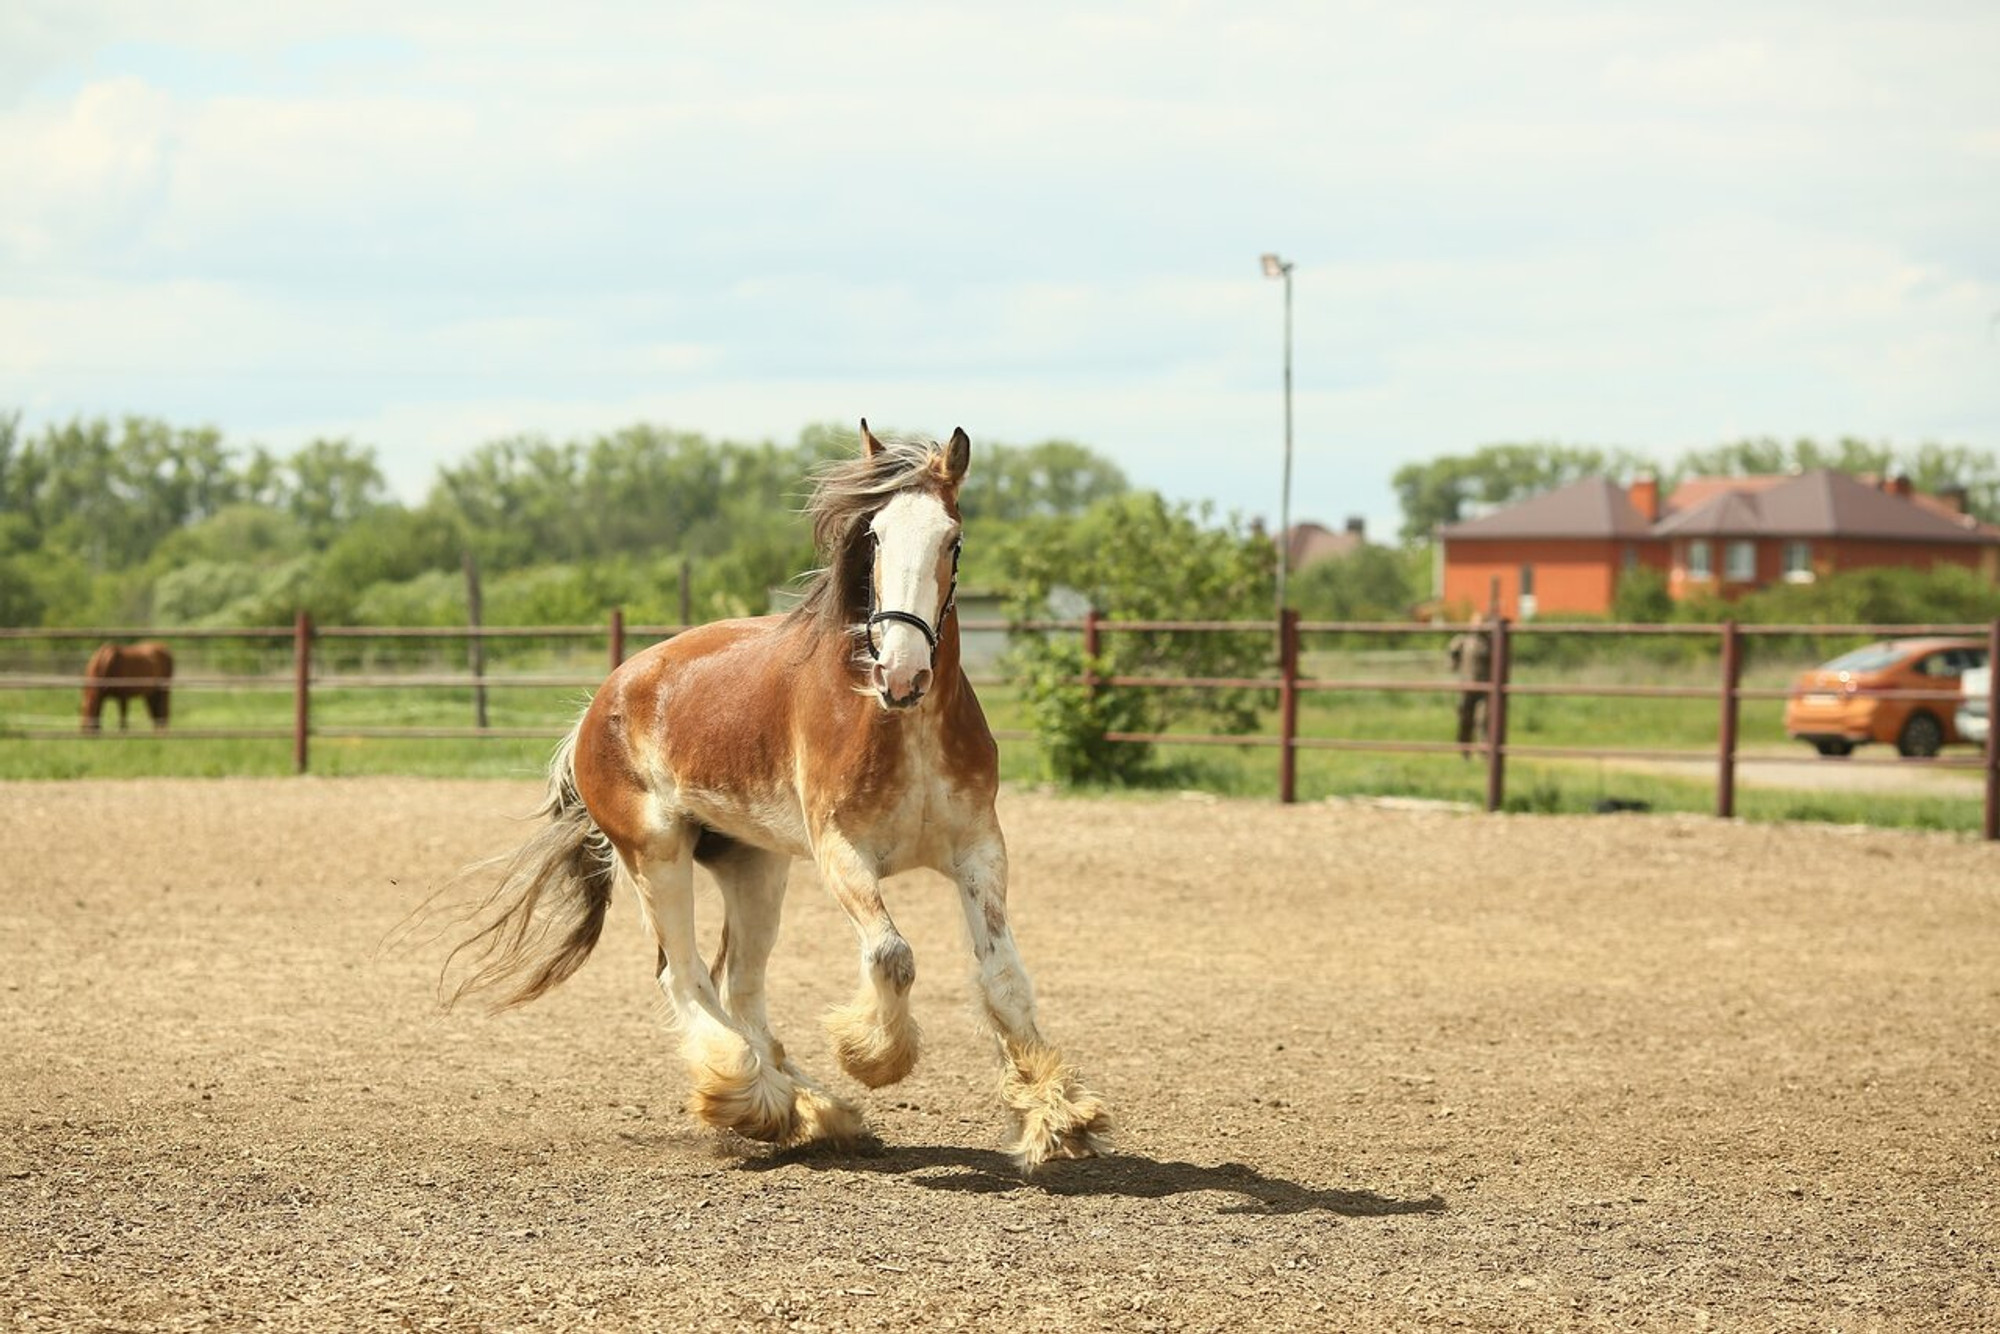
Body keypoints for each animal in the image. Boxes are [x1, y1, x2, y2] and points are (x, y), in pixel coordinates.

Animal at [446, 422, 1112, 1176]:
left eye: (954, 540)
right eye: (874, 537)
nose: (903, 673)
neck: (897, 722)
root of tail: (600, 703)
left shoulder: (978, 851)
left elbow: (1001, 975)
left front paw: (1057, 1115)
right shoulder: (841, 853)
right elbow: (893, 955)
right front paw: (873, 1056)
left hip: (754, 865)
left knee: (739, 985)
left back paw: (812, 1111)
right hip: (657, 855)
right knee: (685, 978)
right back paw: (758, 1100)